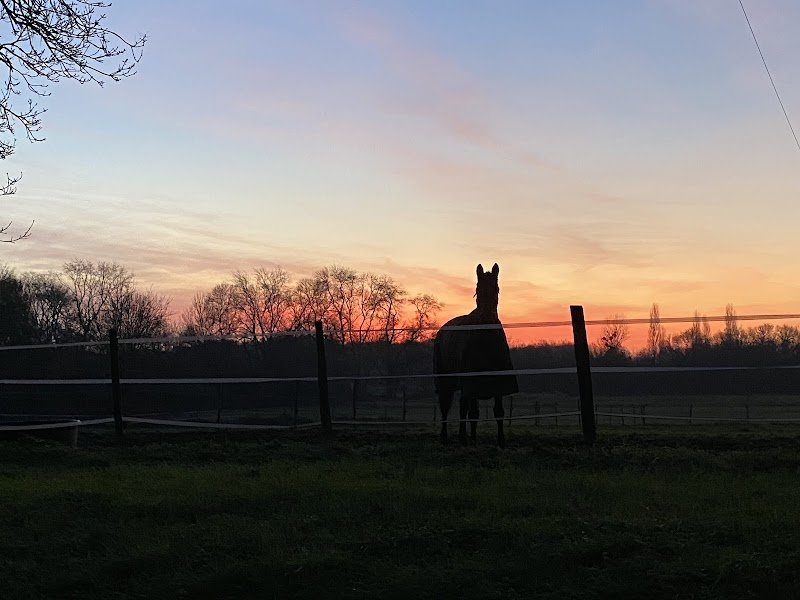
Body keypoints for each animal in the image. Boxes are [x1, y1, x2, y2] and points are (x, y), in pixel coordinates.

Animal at [433, 263, 518, 447]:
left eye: (496, 288)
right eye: (478, 289)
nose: (487, 318)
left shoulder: (496, 382)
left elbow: (498, 412)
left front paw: (501, 441)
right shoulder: (471, 382)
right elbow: (471, 412)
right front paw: (469, 439)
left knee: (464, 408)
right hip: (446, 381)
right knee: (446, 406)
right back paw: (446, 437)